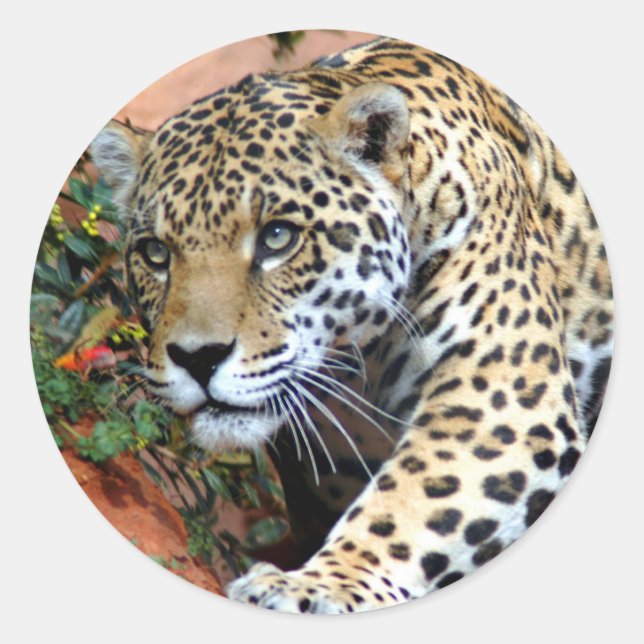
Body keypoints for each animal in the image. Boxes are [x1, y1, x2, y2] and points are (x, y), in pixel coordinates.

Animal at [90, 36, 613, 613]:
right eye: (156, 254)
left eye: (277, 237)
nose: (197, 358)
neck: (356, 362)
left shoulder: (499, 402)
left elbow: (408, 504)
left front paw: (315, 585)